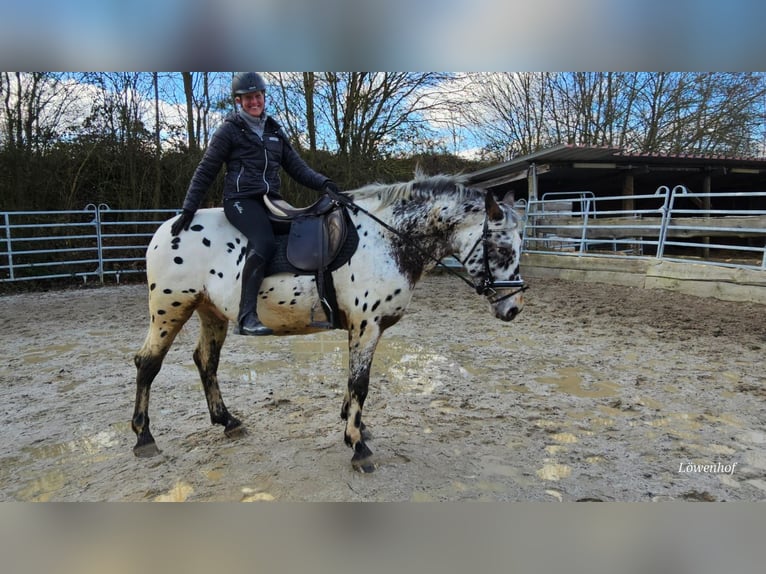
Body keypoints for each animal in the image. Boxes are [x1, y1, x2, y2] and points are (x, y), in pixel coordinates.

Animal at [132, 173, 528, 474]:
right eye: (502, 249)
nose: (514, 308)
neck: (387, 239)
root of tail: (168, 228)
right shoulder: (367, 324)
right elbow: (360, 383)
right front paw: (357, 446)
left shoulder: (360, 327)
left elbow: (353, 381)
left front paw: (357, 427)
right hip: (170, 307)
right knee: (148, 363)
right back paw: (144, 438)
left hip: (210, 313)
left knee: (205, 361)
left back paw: (227, 421)